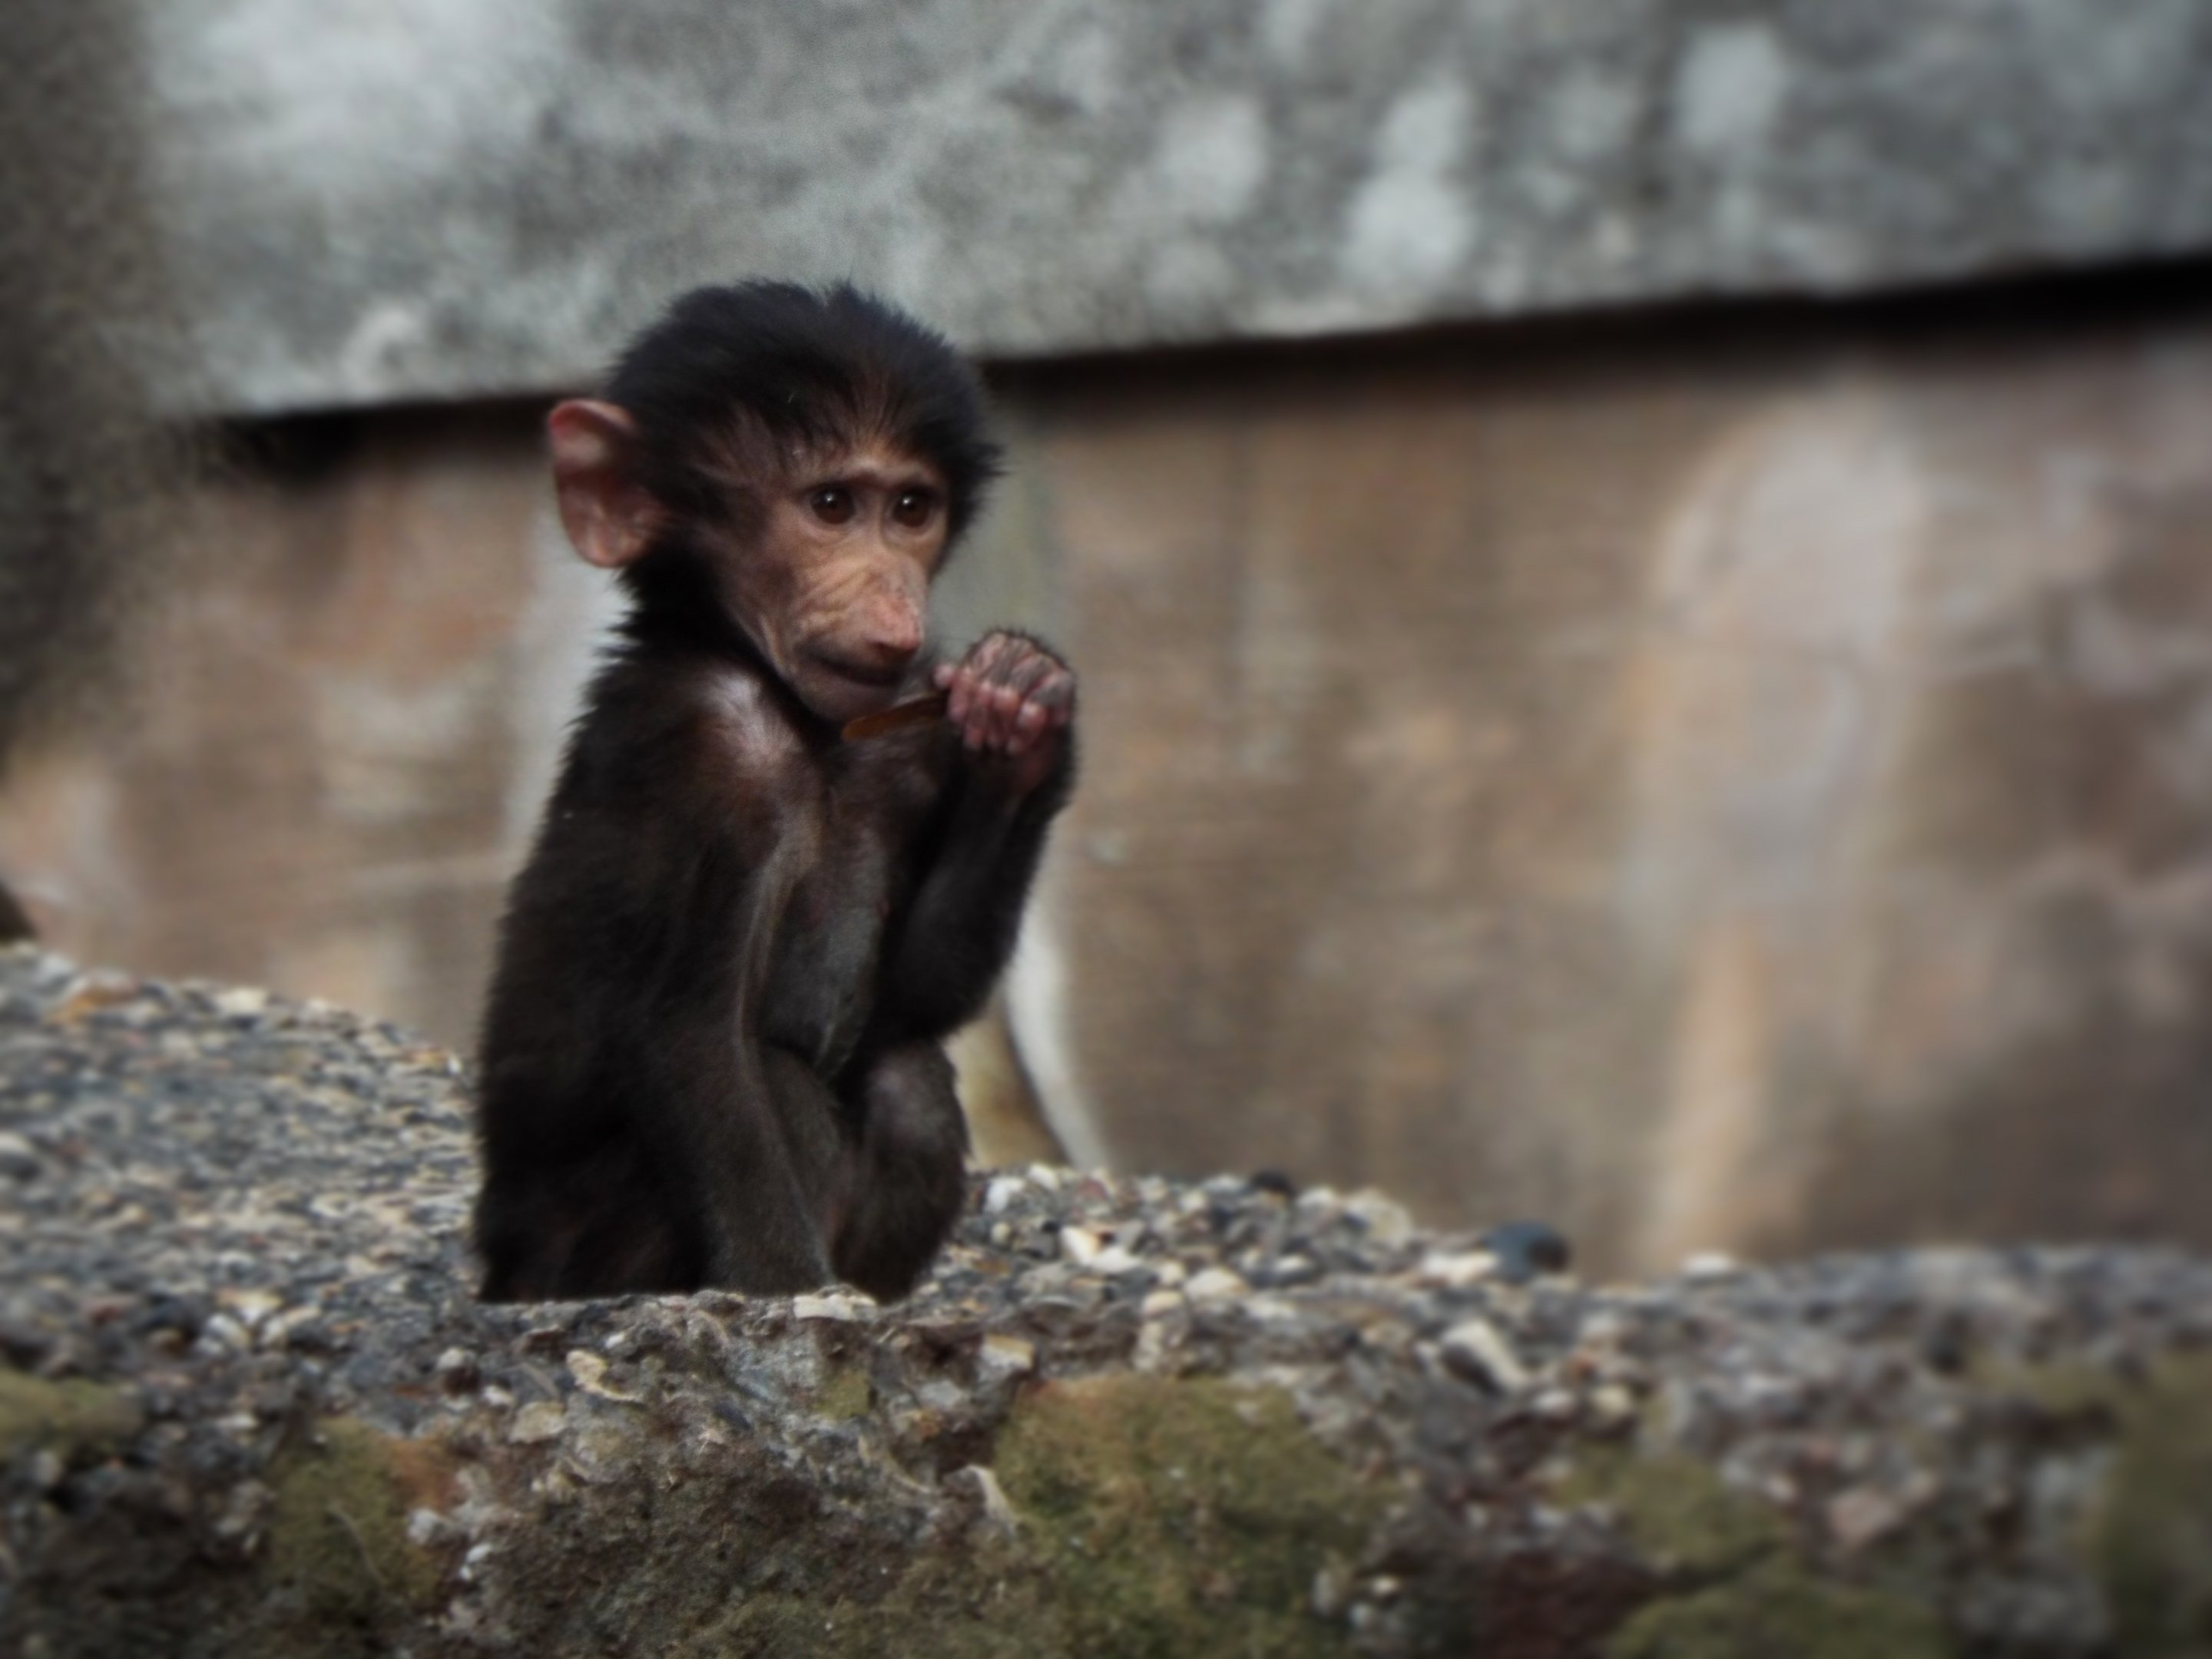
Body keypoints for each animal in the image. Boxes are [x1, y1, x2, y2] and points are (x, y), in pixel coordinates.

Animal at [473, 282, 1075, 1303]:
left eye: (910, 508)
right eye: (830, 505)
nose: (893, 599)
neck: (799, 723)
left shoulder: (906, 743)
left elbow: (912, 998)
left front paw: (1021, 710)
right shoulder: (704, 755)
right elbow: (694, 1036)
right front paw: (795, 1309)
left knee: (909, 1086)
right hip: (582, 1262)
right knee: (782, 1082)